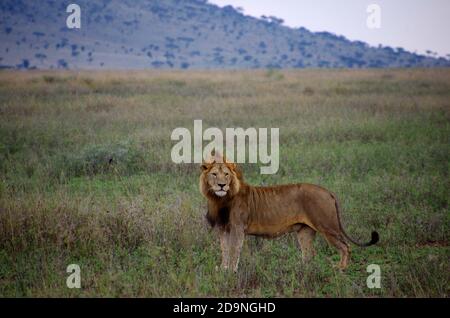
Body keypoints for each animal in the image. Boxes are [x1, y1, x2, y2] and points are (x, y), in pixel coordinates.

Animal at [199, 154, 378, 270]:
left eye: (226, 174)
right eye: (214, 174)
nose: (222, 185)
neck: (219, 199)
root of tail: (327, 191)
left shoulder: (237, 228)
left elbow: (234, 251)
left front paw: (231, 272)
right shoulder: (223, 229)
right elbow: (224, 250)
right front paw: (223, 269)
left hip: (328, 227)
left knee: (345, 246)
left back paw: (340, 269)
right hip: (305, 231)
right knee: (309, 255)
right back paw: (300, 270)